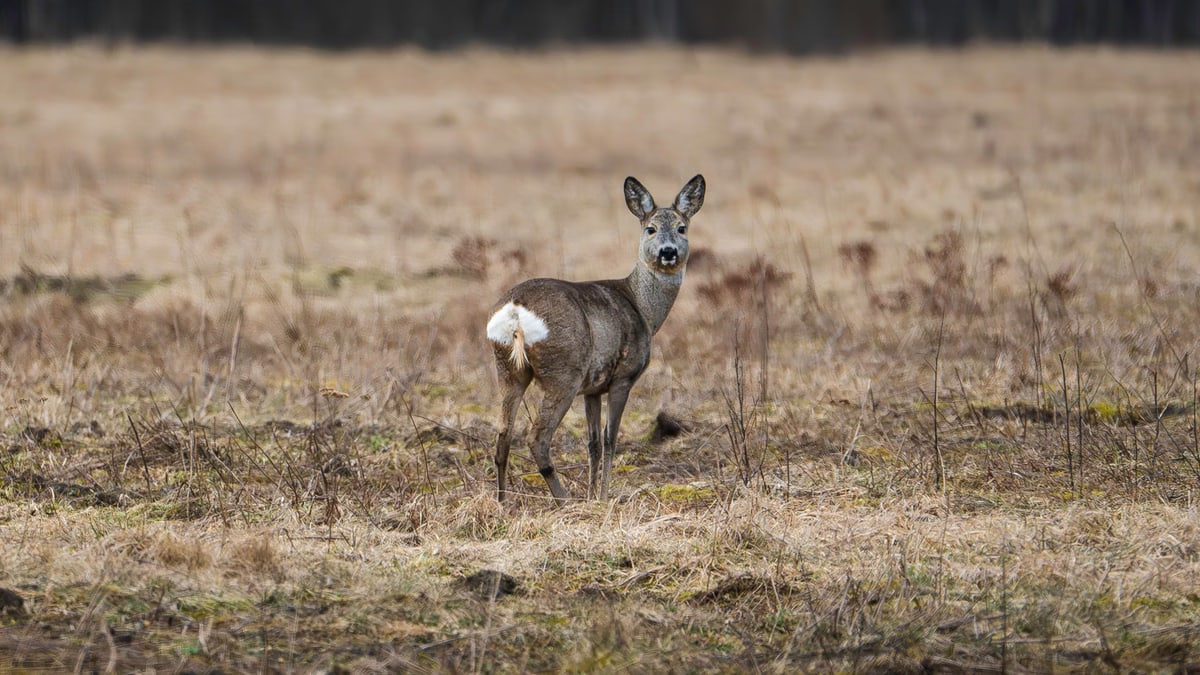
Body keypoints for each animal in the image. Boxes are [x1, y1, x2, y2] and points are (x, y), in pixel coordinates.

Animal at [486, 174, 705, 505]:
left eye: (682, 228)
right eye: (650, 228)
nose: (668, 252)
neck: (643, 309)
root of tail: (516, 311)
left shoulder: (592, 389)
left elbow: (593, 443)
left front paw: (592, 494)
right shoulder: (622, 377)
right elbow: (611, 439)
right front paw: (603, 495)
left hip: (509, 369)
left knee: (503, 434)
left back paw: (502, 501)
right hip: (564, 371)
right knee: (537, 438)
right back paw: (563, 500)